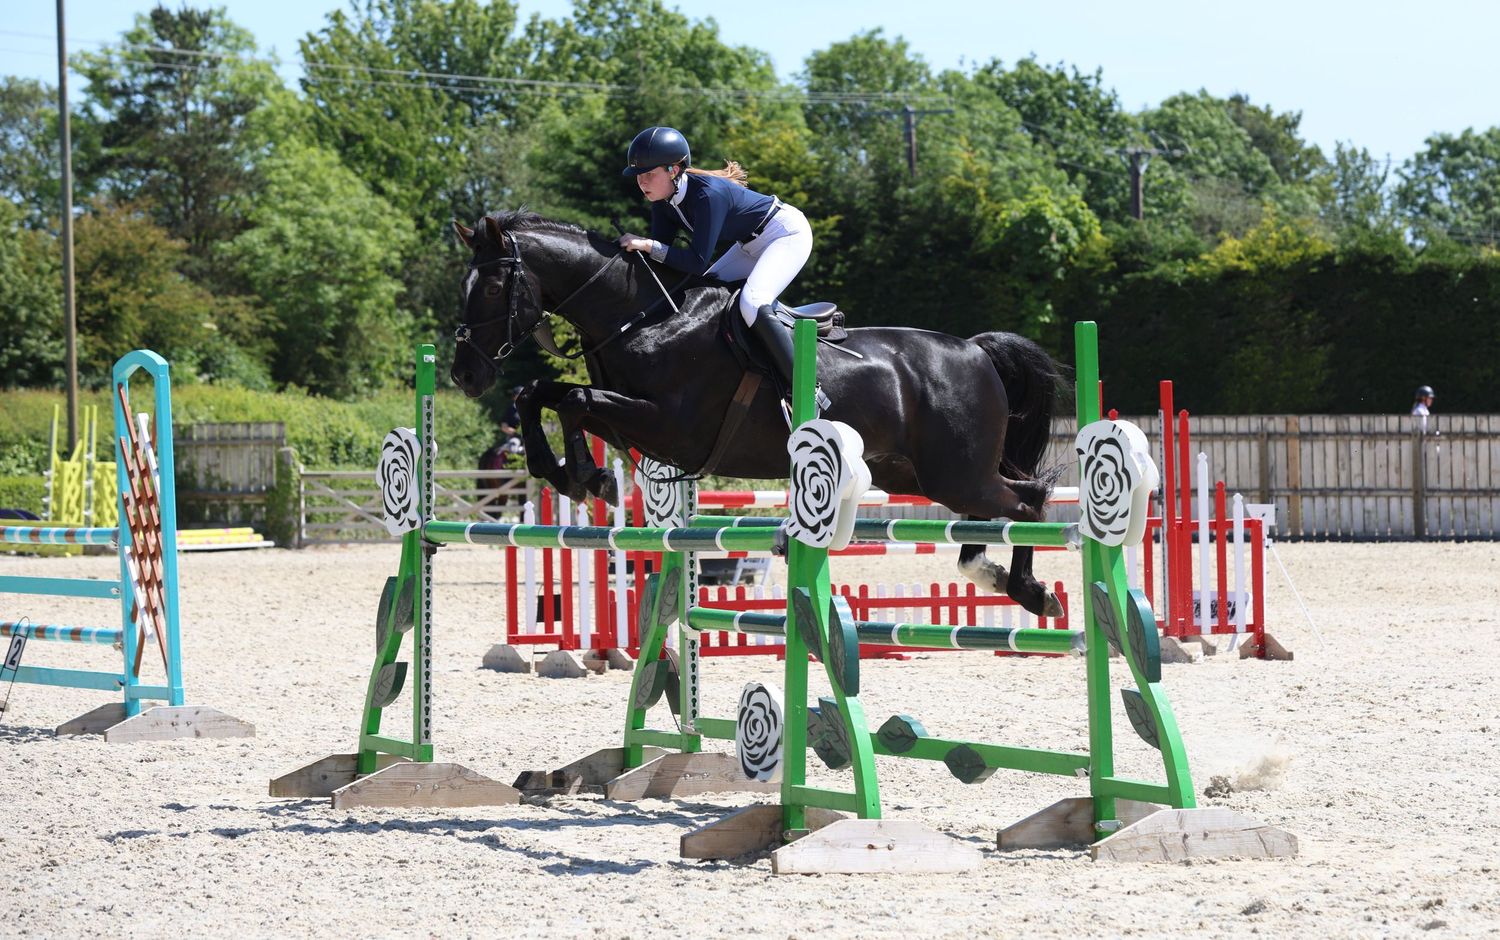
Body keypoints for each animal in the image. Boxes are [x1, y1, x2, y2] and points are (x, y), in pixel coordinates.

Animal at [450, 210, 1066, 617]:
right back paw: (990, 572)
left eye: (494, 286)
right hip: (916, 474)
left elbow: (572, 401)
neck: (645, 317)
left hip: (956, 472)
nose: (463, 375)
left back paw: (1030, 591)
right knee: (1007, 504)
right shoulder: (635, 420)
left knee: (1028, 501)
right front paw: (567, 472)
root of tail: (975, 350)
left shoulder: (670, 427)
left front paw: (586, 475)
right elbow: (539, 393)